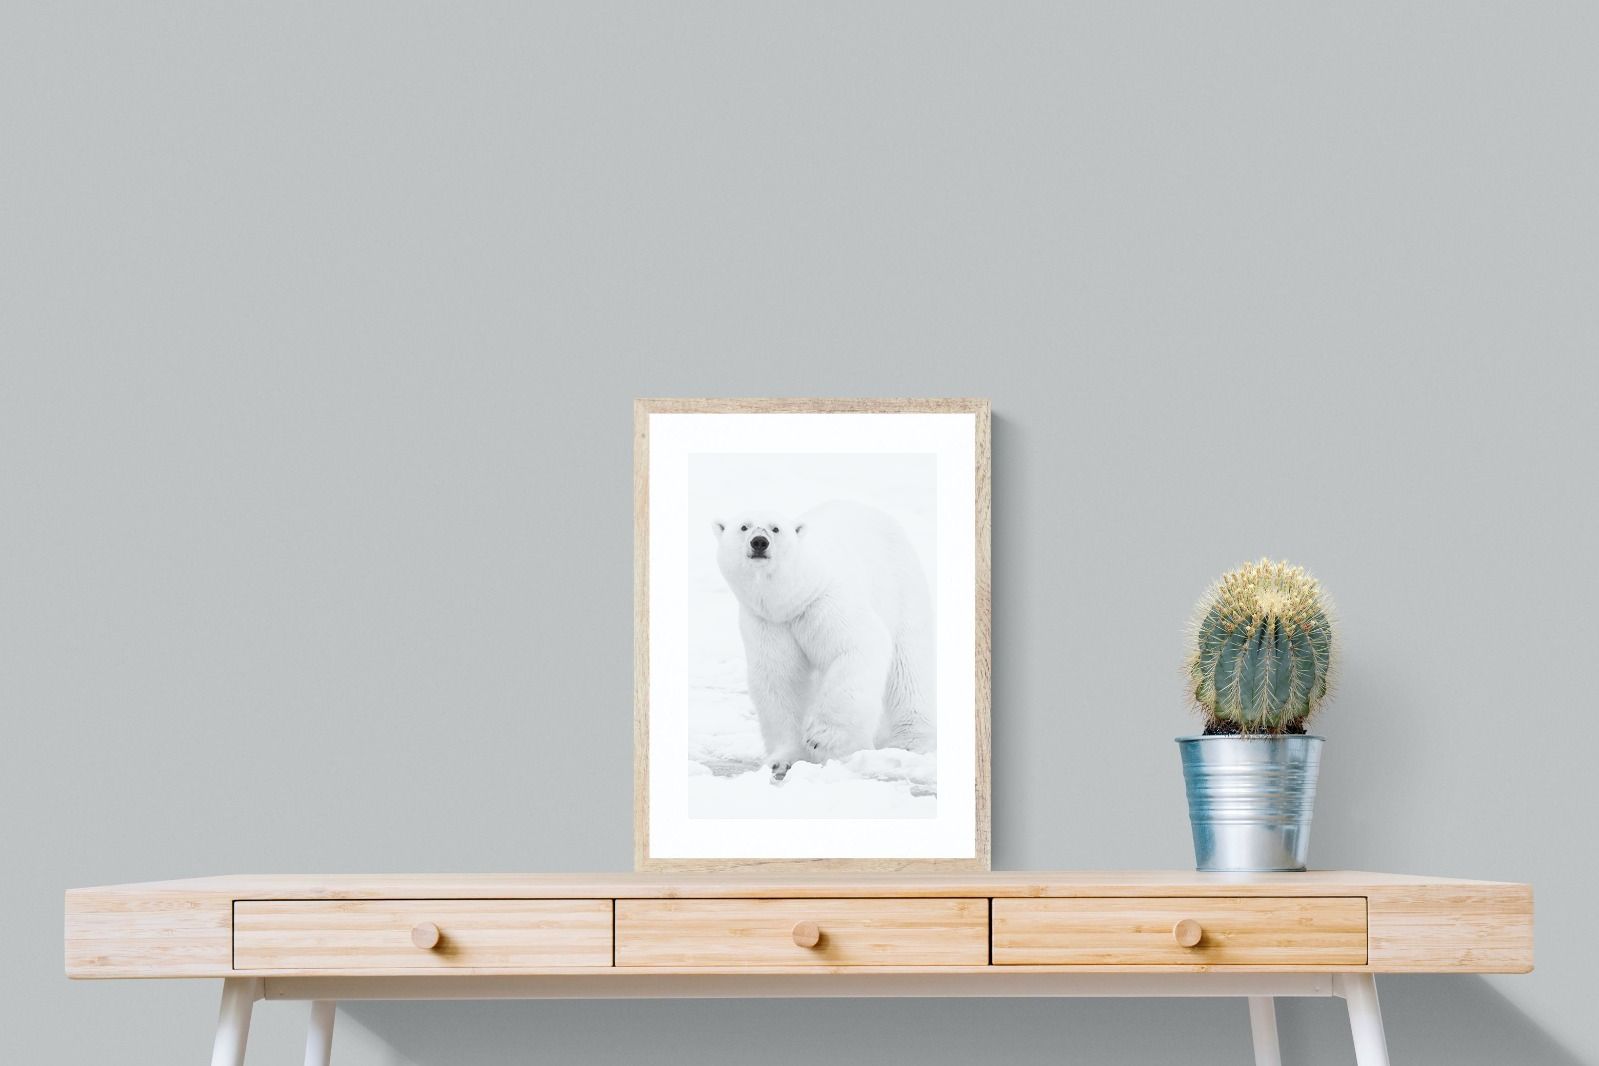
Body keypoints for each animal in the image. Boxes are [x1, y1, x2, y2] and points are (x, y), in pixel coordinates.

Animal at [712, 500, 935, 780]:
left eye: (776, 528)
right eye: (744, 526)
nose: (759, 542)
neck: (792, 599)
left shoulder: (824, 602)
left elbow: (857, 645)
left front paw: (822, 738)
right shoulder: (768, 623)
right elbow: (779, 679)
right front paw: (782, 760)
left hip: (901, 586)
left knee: (908, 666)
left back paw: (908, 742)